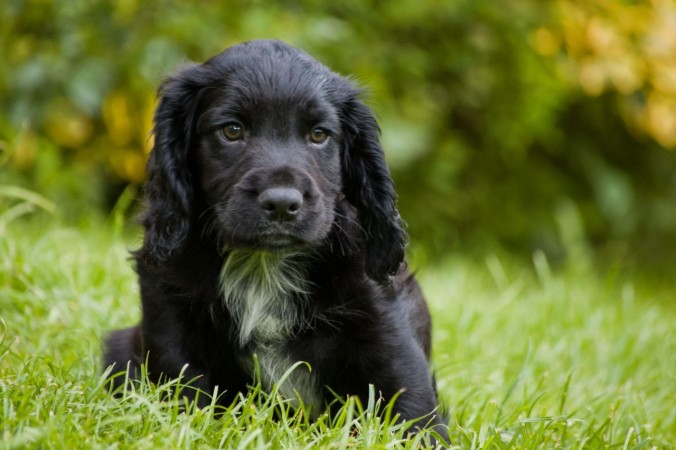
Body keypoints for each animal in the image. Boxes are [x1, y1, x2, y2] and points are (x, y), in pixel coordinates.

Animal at [103, 40, 446, 442]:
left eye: (319, 135)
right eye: (232, 130)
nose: (282, 203)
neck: (264, 264)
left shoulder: (384, 326)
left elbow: (410, 407)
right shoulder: (169, 310)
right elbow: (182, 386)